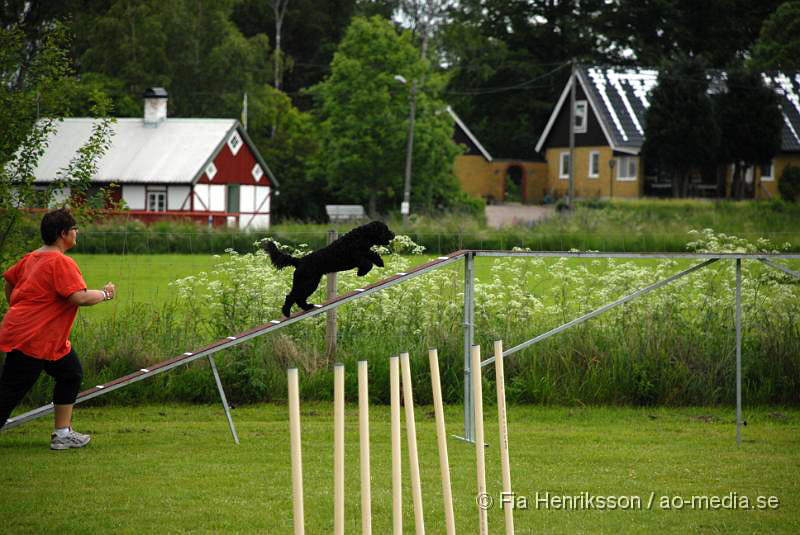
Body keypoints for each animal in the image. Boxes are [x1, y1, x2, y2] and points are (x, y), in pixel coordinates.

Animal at [268, 220, 396, 316]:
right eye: (385, 229)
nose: (394, 234)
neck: (362, 236)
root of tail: (299, 261)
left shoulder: (365, 251)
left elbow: (373, 255)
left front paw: (380, 262)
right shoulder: (356, 256)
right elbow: (367, 263)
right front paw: (361, 272)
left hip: (310, 283)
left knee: (299, 298)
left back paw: (308, 307)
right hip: (306, 283)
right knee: (291, 296)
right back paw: (286, 312)